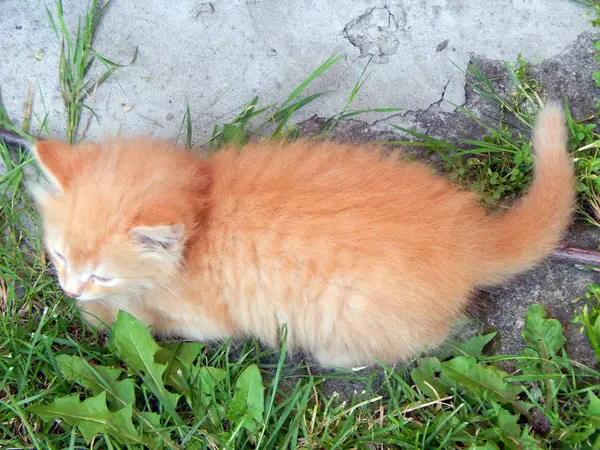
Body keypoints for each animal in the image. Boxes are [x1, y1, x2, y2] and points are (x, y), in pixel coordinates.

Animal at [30, 103, 576, 368]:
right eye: (59, 256)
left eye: (101, 275)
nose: (70, 289)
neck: (205, 205)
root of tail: (467, 237)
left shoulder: (206, 320)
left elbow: (147, 317)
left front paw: (99, 314)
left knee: (425, 339)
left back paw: (338, 358)